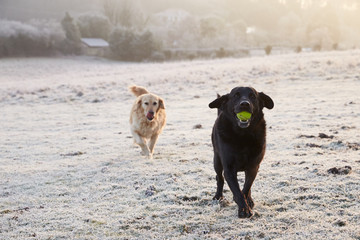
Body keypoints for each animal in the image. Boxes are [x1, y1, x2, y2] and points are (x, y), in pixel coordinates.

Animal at [208, 87, 272, 218]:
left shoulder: (253, 166)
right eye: (235, 96)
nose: (245, 104)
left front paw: (246, 202)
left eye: (252, 96)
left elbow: (246, 187)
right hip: (217, 160)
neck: (243, 135)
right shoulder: (229, 169)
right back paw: (218, 196)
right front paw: (244, 210)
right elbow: (237, 190)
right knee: (219, 178)